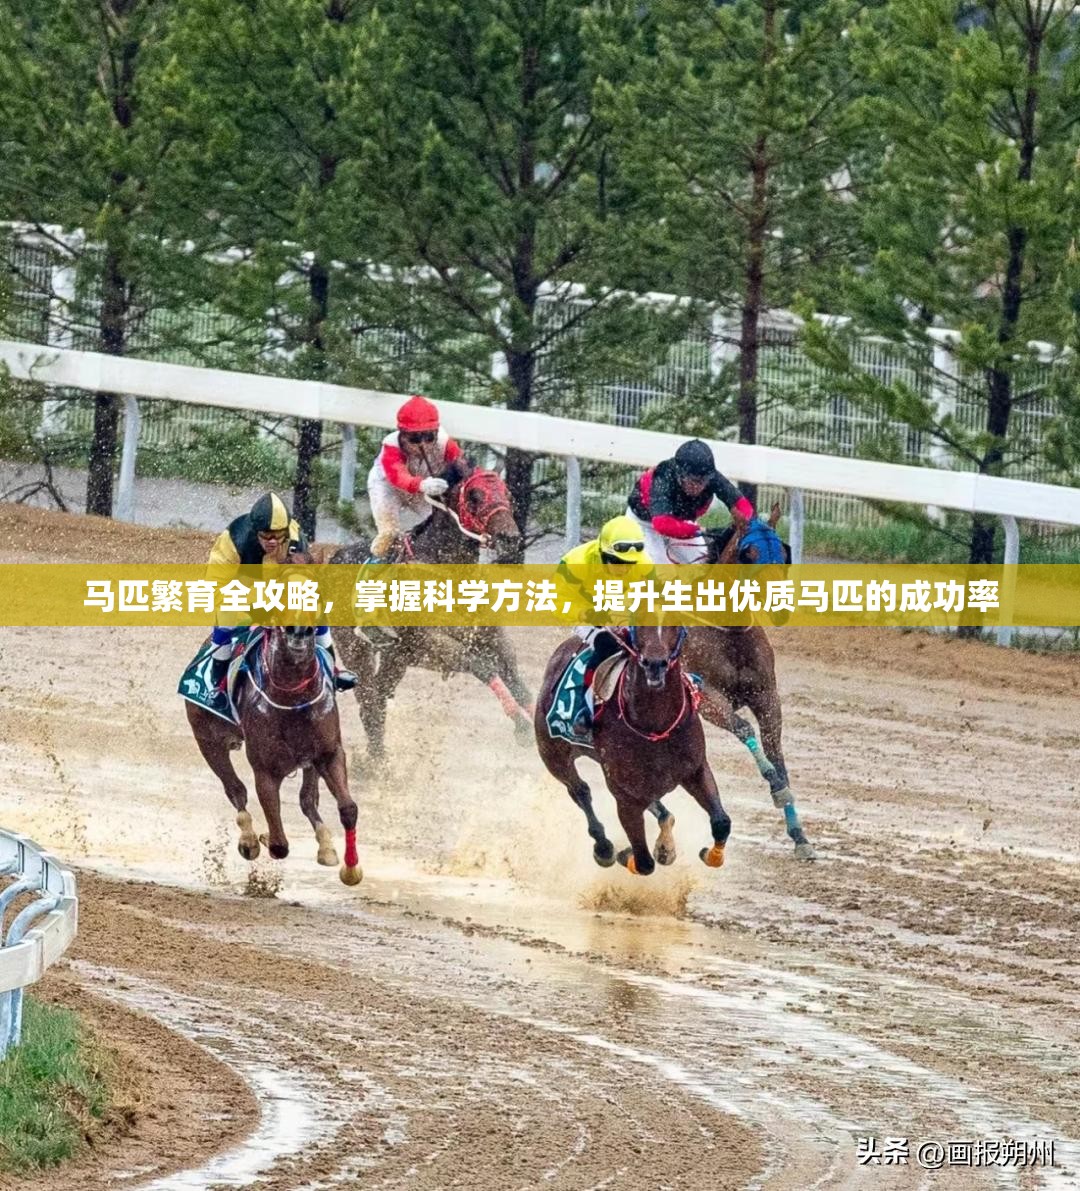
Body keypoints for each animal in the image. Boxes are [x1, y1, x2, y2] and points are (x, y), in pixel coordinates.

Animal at [328, 464, 531, 762]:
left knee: (377, 698)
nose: (510, 538)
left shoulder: (493, 640)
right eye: (474, 496)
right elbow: (480, 665)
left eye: (507, 494)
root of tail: (333, 557)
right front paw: (522, 726)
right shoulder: (431, 643)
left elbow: (517, 679)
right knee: (369, 701)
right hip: (356, 649)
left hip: (396, 658)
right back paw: (377, 764)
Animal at [533, 624, 728, 876]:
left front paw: (710, 854)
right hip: (553, 755)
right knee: (579, 791)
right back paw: (604, 848)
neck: (657, 727)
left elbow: (721, 822)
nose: (655, 664)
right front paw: (624, 853)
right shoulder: (625, 795)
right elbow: (644, 862)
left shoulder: (696, 770)